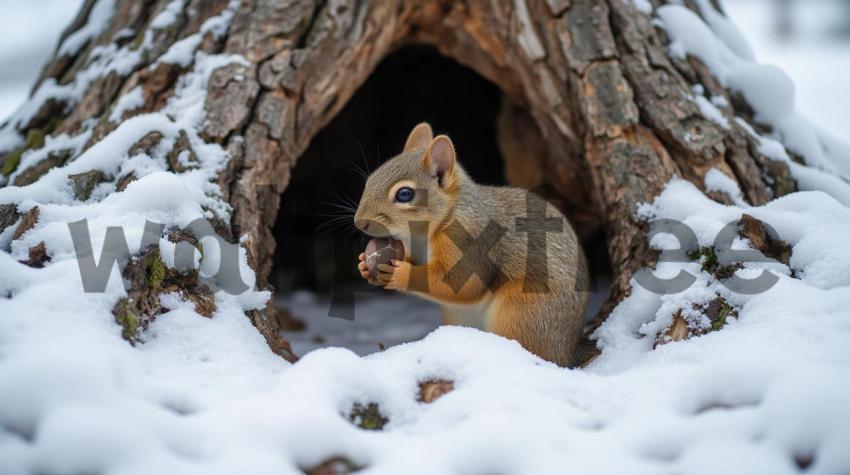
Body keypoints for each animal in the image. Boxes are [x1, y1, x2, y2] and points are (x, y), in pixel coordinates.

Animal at [354, 123, 588, 368]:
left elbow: (461, 282)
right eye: (370, 180)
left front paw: (400, 273)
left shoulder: (469, 240)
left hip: (524, 312)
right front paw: (363, 264)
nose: (359, 222)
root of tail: (568, 351)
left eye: (405, 194)